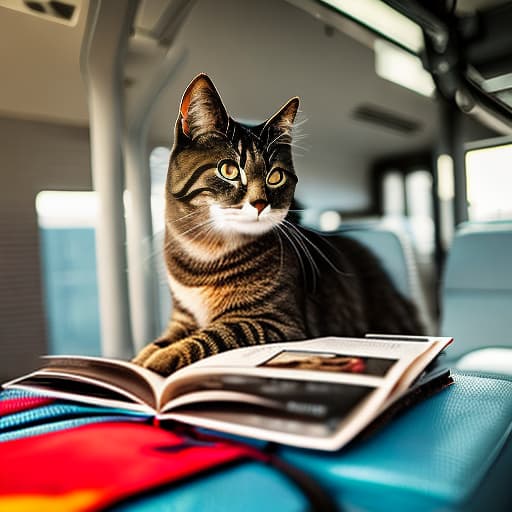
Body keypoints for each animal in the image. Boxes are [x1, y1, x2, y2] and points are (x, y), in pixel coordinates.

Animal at [133, 73, 424, 376]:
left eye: (275, 176)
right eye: (228, 170)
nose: (261, 204)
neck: (205, 254)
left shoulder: (278, 323)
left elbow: (217, 333)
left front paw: (162, 359)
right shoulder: (182, 317)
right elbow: (160, 340)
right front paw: (139, 360)